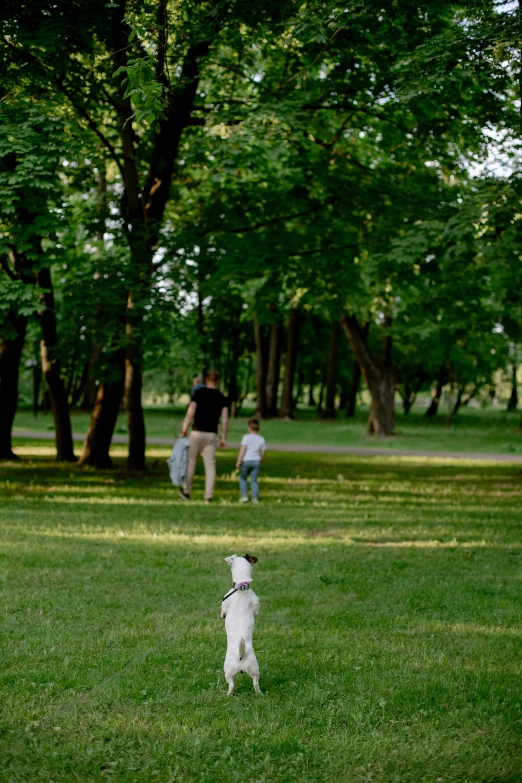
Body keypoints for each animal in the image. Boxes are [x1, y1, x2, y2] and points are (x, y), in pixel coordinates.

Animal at [219, 556, 260, 696]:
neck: (242, 587)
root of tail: (241, 654)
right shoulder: (256, 602)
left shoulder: (225, 602)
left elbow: (222, 610)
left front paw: (222, 615)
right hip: (255, 669)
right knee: (255, 683)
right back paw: (260, 693)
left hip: (228, 670)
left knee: (231, 684)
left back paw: (228, 695)